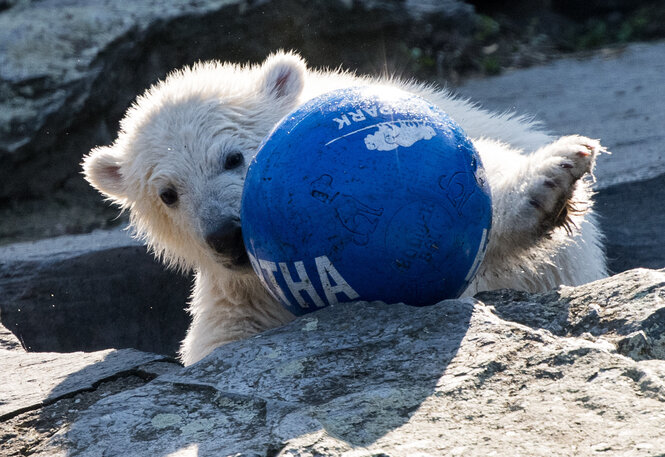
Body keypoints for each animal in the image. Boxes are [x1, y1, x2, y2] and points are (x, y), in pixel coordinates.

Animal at [81, 51, 608, 366]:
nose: (225, 237)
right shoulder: (240, 296)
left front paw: (549, 179)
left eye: (232, 157)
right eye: (168, 193)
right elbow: (219, 341)